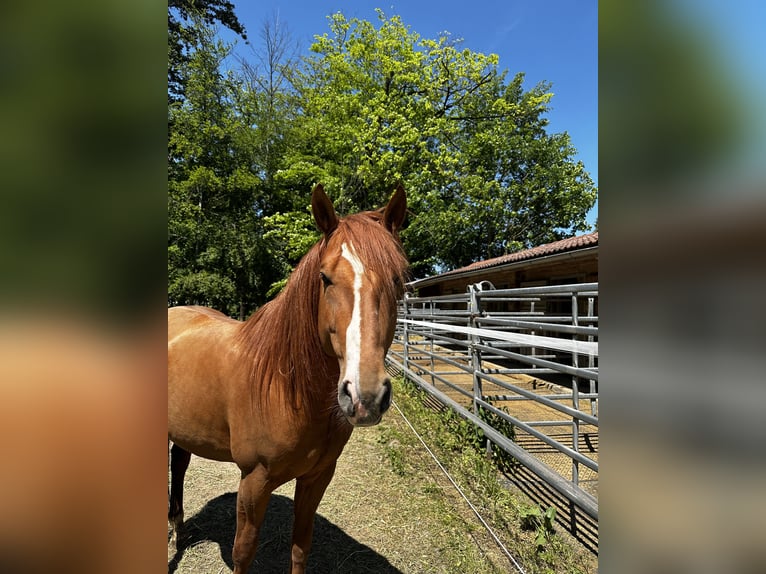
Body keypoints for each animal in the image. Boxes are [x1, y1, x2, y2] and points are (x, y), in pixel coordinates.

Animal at [168, 186, 408, 574]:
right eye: (325, 278)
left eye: (399, 280)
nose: (366, 396)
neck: (289, 389)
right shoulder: (254, 481)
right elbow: (243, 552)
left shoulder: (317, 477)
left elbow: (300, 547)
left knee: (179, 464)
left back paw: (178, 530)